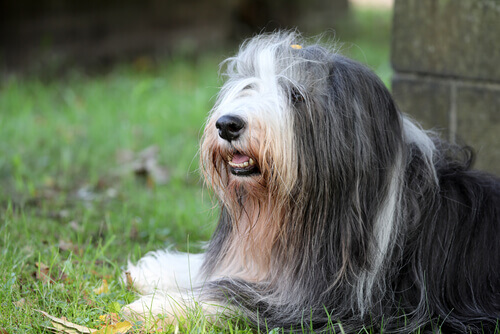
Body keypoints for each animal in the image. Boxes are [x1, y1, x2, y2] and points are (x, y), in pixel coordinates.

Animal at [125, 32, 500, 334]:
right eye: (247, 87)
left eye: (295, 95)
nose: (228, 124)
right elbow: (218, 270)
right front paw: (156, 270)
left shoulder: (325, 304)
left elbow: (234, 294)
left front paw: (156, 306)